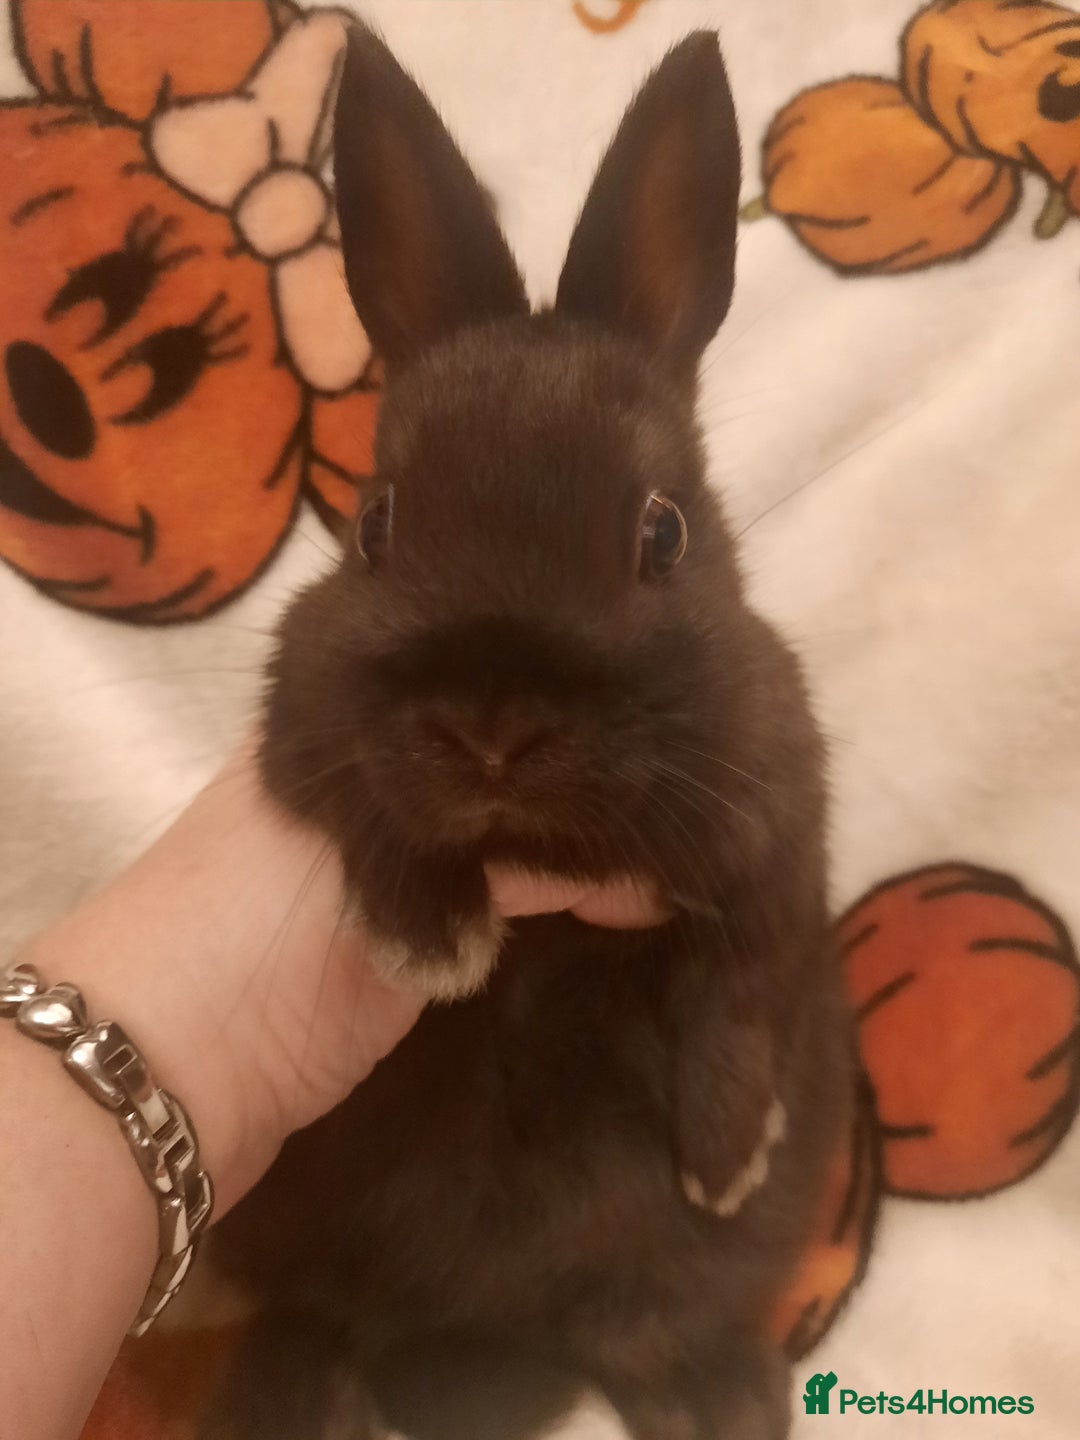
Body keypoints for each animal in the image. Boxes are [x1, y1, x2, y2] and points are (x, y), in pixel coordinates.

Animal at [203, 23, 854, 1440]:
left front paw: (729, 1154)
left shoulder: (781, 832)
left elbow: (740, 989)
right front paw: (433, 937)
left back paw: (730, 1393)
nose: (493, 728)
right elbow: (374, 813)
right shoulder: (306, 722)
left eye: (661, 532)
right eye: (377, 524)